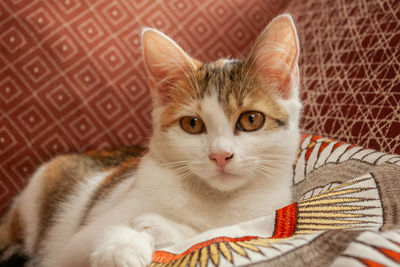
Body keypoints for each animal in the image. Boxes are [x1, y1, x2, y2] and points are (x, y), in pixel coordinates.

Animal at [0, 14, 300, 267]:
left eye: (251, 120)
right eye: (192, 124)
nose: (220, 155)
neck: (217, 199)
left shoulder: (264, 212)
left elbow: (212, 233)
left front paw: (159, 226)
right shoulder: (77, 241)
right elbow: (84, 243)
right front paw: (123, 247)